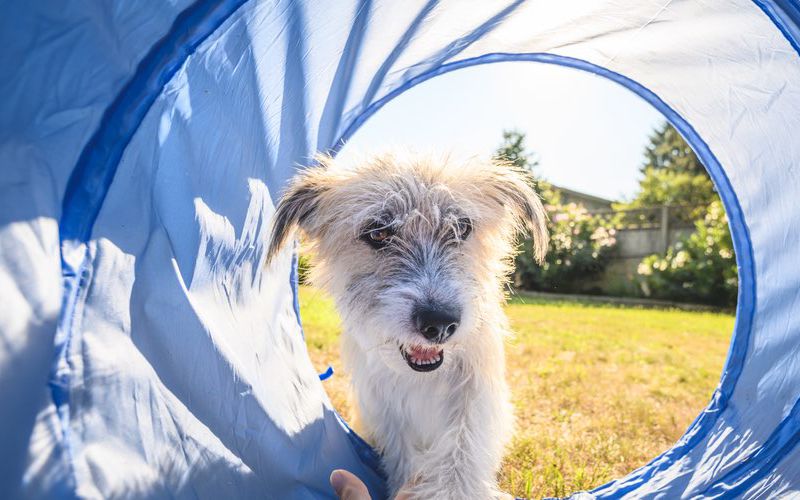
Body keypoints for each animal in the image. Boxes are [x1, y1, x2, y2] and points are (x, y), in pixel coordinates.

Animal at [266, 154, 548, 498]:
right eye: (377, 233)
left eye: (462, 228)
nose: (439, 323)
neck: (422, 377)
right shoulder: (385, 412)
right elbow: (403, 457)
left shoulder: (475, 394)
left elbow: (463, 446)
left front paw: (453, 491)